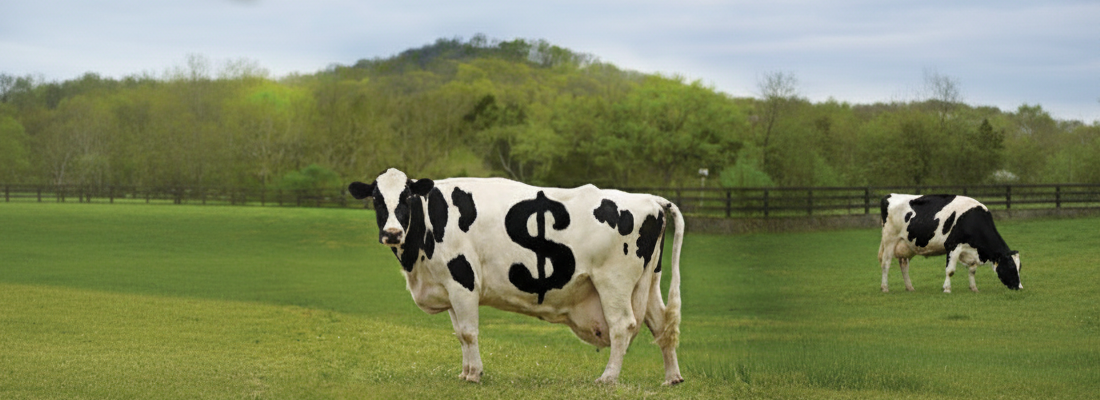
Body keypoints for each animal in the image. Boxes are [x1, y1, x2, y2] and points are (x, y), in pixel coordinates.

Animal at [347, 168, 685, 385]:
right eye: (376, 199)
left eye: (406, 198)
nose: (392, 233)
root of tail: (651, 199)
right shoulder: (448, 288)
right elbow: (459, 334)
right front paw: (465, 372)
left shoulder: (463, 283)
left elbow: (469, 332)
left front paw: (475, 375)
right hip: (649, 283)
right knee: (662, 327)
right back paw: (672, 379)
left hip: (613, 281)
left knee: (622, 326)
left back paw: (608, 378)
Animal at [878, 193, 1022, 293]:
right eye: (1011, 266)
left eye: (1020, 267)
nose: (1019, 287)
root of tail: (889, 195)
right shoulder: (953, 246)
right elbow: (950, 270)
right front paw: (947, 289)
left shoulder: (971, 250)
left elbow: (972, 271)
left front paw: (974, 288)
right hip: (890, 240)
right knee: (886, 263)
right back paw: (885, 287)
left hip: (906, 245)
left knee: (904, 265)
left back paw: (910, 287)